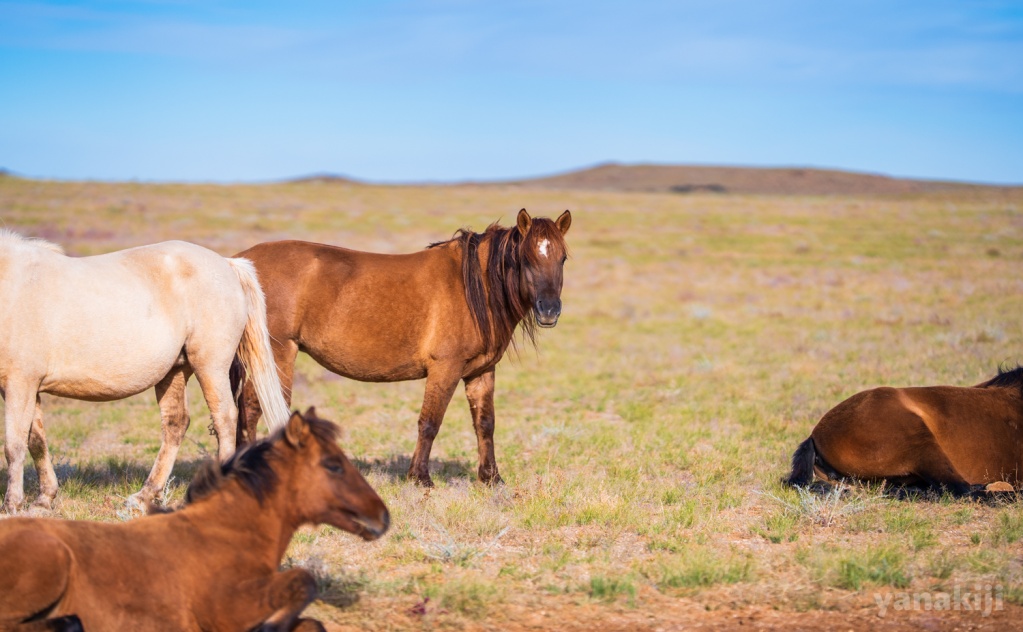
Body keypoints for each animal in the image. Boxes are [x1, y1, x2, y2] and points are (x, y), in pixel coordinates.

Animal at [0, 230, 291, 512]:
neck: (13, 289)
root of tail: (228, 265)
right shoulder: (24, 387)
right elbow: (36, 441)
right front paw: (44, 499)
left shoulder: (21, 383)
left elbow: (14, 444)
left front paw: (12, 504)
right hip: (175, 372)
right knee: (176, 424)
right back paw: (145, 495)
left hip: (210, 366)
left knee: (225, 419)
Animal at [0, 407, 389, 631]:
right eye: (333, 465)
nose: (383, 516)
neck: (222, 532)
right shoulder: (227, 608)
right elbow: (304, 580)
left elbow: (311, 622)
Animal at [231, 208, 572, 487]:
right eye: (526, 258)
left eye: (563, 259)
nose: (549, 311)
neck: (474, 287)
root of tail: (239, 263)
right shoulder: (445, 368)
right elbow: (430, 423)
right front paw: (419, 478)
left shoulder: (482, 372)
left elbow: (485, 424)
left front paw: (491, 478)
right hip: (277, 354)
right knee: (252, 408)